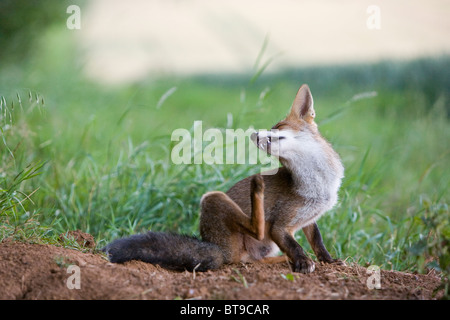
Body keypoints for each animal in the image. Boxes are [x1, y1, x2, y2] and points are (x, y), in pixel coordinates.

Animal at [103, 84, 344, 272]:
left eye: (277, 127)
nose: (253, 135)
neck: (318, 185)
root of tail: (216, 247)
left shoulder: (308, 219)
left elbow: (317, 242)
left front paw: (328, 260)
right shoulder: (279, 225)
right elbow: (295, 246)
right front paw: (303, 262)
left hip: (261, 246)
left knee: (255, 260)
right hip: (213, 199)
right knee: (256, 230)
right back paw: (257, 191)